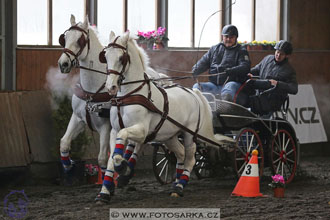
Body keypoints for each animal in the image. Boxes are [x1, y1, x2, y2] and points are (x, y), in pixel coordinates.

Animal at [96, 31, 233, 203]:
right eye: (106, 56)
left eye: (121, 58)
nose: (111, 87)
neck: (129, 95)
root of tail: (193, 93)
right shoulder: (114, 130)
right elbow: (111, 159)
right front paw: (104, 193)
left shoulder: (141, 130)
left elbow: (122, 141)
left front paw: (122, 167)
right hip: (170, 136)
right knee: (180, 153)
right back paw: (176, 181)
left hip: (189, 134)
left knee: (190, 158)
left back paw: (179, 187)